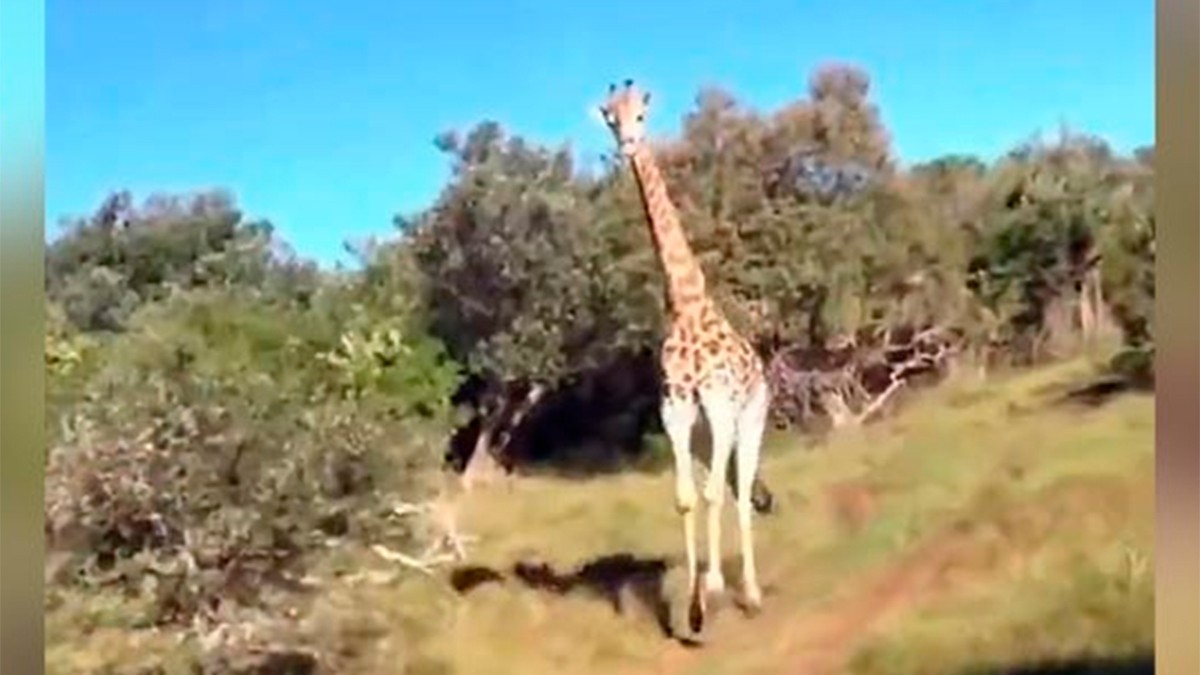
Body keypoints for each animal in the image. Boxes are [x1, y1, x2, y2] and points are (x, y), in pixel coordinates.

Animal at [599, 79, 771, 633]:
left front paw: (712, 589)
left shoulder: (716, 403)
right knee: (733, 489)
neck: (686, 306)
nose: (628, 144)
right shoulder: (675, 410)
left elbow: (713, 494)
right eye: (609, 116)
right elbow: (685, 498)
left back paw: (751, 594)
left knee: (740, 491)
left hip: (748, 422)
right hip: (704, 436)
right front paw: (694, 606)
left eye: (642, 114)